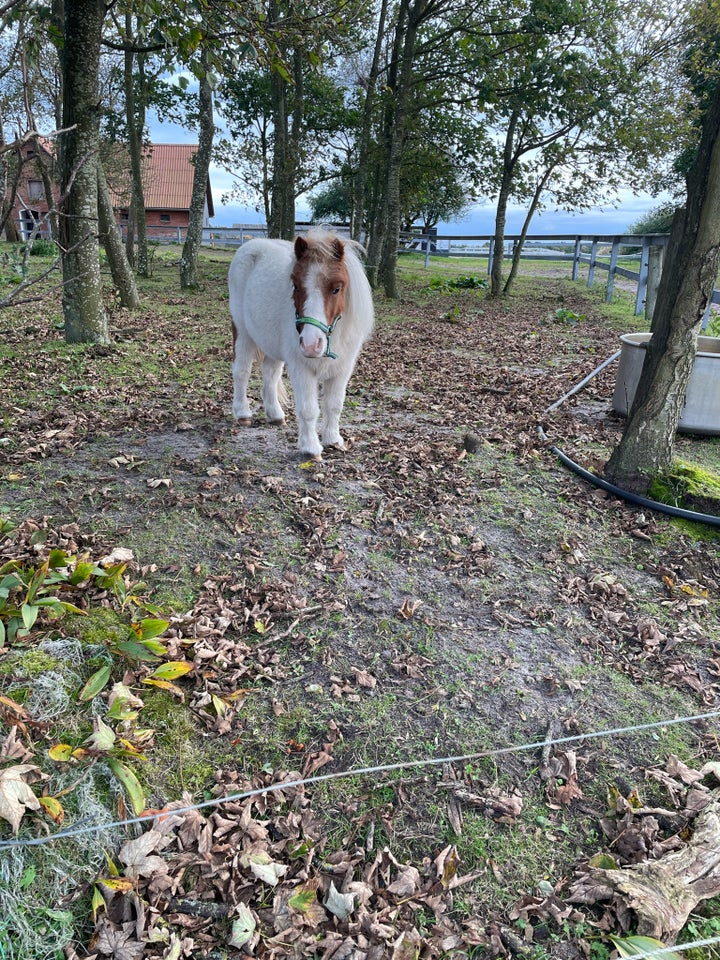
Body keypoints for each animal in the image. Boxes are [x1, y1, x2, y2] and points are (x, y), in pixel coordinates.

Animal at [229, 231, 376, 460]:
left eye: (336, 288)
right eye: (296, 286)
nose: (310, 344)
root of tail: (250, 245)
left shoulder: (343, 369)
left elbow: (334, 405)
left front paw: (333, 439)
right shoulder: (302, 368)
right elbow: (308, 409)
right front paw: (311, 448)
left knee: (270, 374)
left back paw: (275, 414)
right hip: (243, 334)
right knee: (242, 371)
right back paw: (242, 413)